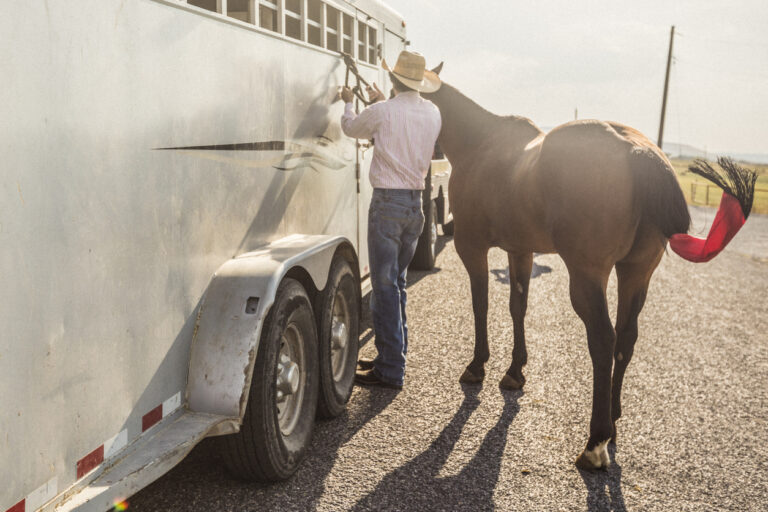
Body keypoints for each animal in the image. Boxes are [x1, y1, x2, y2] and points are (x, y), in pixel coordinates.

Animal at [424, 66, 760, 470]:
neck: (481, 143)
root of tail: (637, 151)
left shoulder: (471, 247)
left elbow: (481, 305)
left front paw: (478, 366)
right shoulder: (520, 251)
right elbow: (518, 307)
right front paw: (515, 371)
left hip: (587, 276)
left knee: (603, 338)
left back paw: (595, 442)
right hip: (635, 273)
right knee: (626, 338)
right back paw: (612, 419)